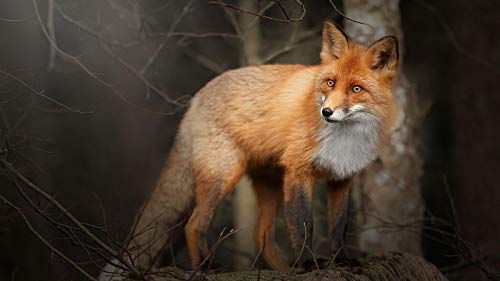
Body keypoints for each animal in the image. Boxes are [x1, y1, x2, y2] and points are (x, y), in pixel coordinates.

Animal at [99, 20, 400, 278]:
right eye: (330, 83)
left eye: (356, 88)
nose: (326, 112)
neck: (345, 139)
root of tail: (197, 97)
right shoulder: (298, 172)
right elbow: (304, 225)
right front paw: (309, 263)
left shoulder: (341, 177)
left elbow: (338, 227)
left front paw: (342, 261)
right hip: (224, 174)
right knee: (194, 225)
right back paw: (206, 268)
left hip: (271, 185)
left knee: (260, 233)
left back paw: (283, 269)